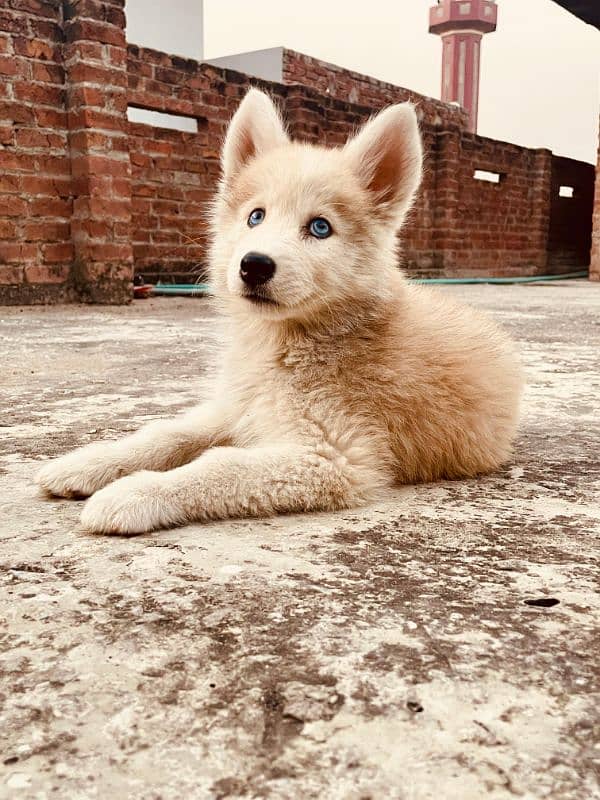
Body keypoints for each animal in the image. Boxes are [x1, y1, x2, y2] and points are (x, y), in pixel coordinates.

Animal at [38, 90, 524, 536]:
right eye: (256, 216)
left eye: (320, 227)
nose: (253, 264)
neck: (285, 344)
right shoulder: (237, 406)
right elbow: (167, 433)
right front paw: (89, 462)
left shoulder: (334, 457)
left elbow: (221, 466)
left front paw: (134, 494)